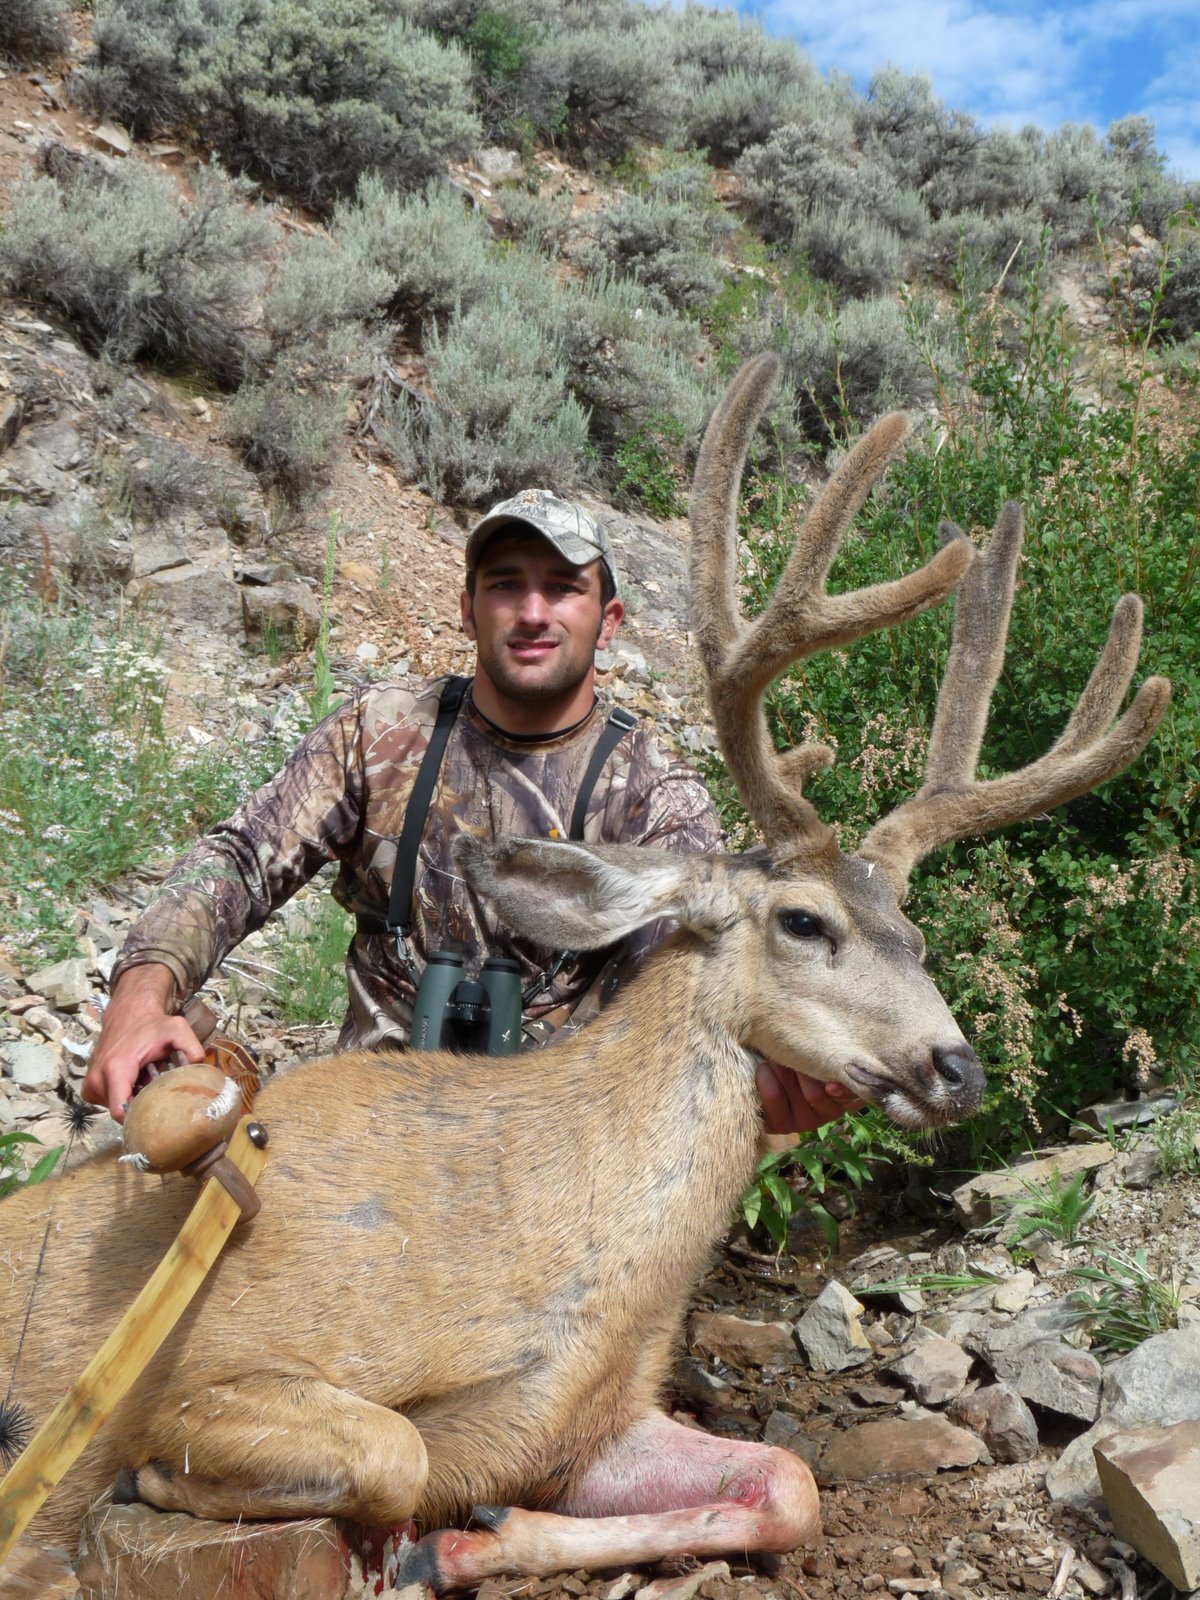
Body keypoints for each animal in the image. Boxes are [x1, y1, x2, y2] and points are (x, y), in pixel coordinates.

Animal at [0, 354, 1168, 1590]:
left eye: (917, 933)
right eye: (804, 920)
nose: (957, 1068)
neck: (566, 1254)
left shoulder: (590, 1418)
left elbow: (786, 1485)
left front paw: (470, 1538)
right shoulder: (212, 1364)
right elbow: (392, 1445)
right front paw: (174, 1488)